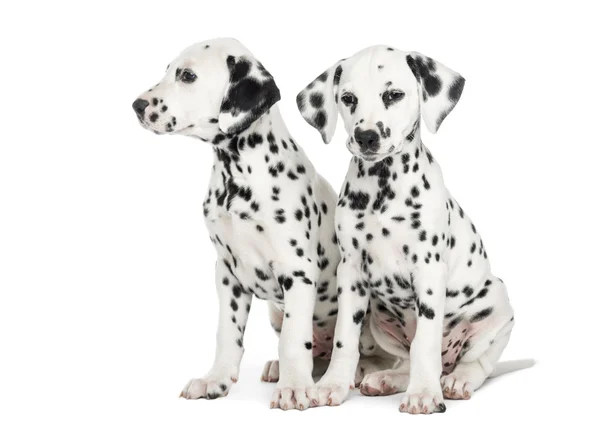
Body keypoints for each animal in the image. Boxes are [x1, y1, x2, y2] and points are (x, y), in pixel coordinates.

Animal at [132, 39, 394, 410]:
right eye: (168, 70)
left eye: (187, 76)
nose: (137, 105)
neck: (237, 178)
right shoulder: (227, 272)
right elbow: (228, 334)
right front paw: (216, 379)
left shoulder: (296, 271)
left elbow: (294, 340)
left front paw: (295, 387)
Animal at [296, 46, 528, 414]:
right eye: (348, 98)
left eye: (393, 95)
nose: (366, 137)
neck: (382, 187)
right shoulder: (351, 272)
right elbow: (344, 339)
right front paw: (333, 384)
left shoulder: (429, 270)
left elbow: (425, 343)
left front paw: (423, 393)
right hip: (379, 320)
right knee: (404, 361)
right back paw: (388, 379)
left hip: (497, 305)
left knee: (477, 363)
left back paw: (456, 380)